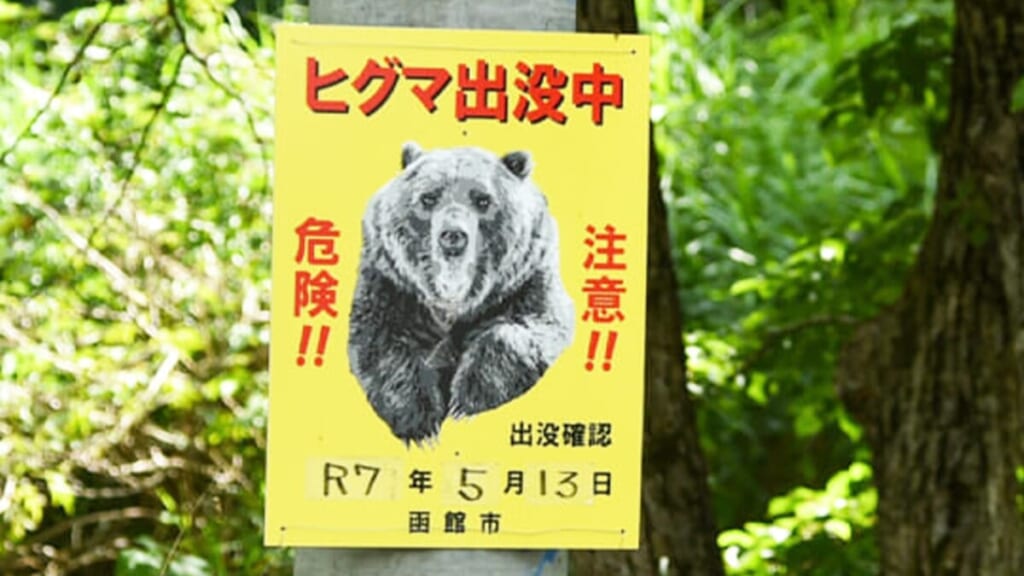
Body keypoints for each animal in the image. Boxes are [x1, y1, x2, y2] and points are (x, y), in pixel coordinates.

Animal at [347, 142, 575, 445]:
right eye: (428, 198)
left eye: (483, 200)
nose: (453, 236)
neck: (452, 306)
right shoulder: (391, 283)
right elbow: (379, 342)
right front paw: (421, 423)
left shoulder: (526, 281)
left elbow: (538, 326)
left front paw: (464, 401)